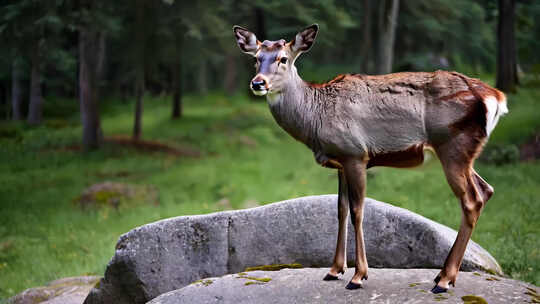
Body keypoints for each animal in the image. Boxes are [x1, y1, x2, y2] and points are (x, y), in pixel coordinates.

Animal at [232, 22, 506, 294]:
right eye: (256, 58)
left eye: (283, 58)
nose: (258, 83)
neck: (315, 120)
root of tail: (496, 97)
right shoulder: (340, 161)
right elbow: (340, 209)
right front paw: (334, 270)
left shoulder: (356, 154)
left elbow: (357, 210)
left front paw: (358, 276)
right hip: (464, 153)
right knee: (486, 189)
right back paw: (441, 275)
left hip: (453, 145)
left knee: (471, 200)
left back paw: (445, 280)